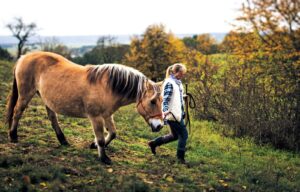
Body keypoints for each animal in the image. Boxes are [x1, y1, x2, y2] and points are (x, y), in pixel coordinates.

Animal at [5, 51, 164, 164]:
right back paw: (13, 136)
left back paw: (63, 140)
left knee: (52, 118)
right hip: (25, 94)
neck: (108, 86)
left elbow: (112, 133)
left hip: (47, 100)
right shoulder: (96, 117)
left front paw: (94, 145)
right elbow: (101, 138)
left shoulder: (107, 115)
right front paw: (104, 158)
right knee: (17, 112)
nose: (159, 126)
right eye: (152, 101)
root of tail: (24, 57)